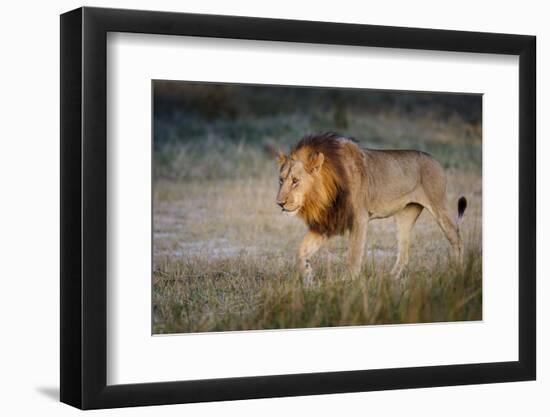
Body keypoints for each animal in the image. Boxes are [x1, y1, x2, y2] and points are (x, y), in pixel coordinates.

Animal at [278, 132, 468, 280]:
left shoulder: (359, 218)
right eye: (281, 180)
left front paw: (348, 283)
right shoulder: (328, 221)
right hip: (405, 215)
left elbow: (353, 255)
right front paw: (308, 276)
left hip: (438, 205)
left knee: (456, 238)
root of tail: (436, 160)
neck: (325, 193)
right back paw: (390, 279)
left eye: (295, 181)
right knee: (404, 253)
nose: (279, 203)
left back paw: (458, 272)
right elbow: (301, 251)